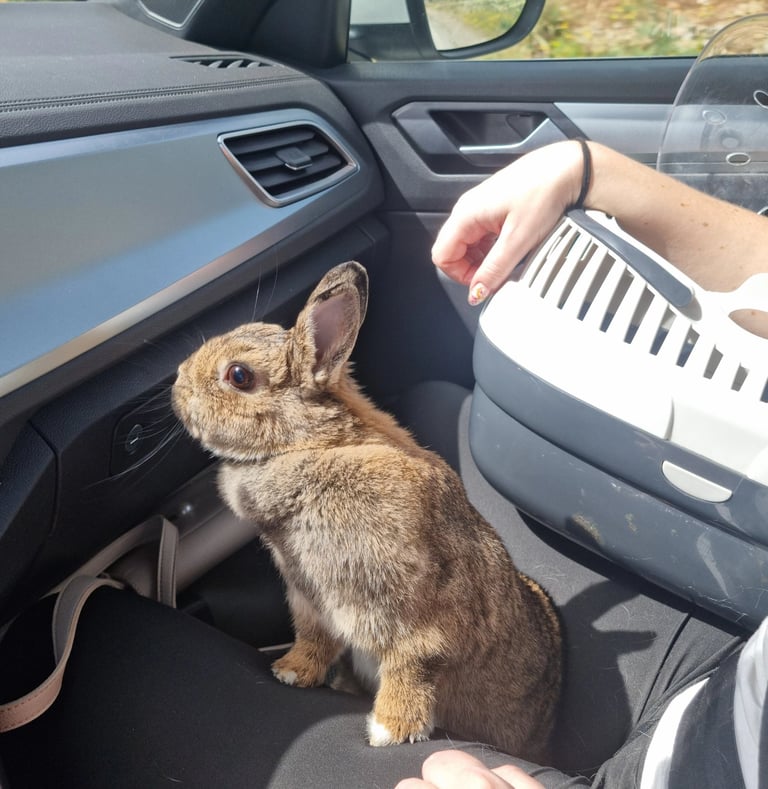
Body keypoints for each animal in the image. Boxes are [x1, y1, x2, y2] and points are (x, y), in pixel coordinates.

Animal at [172, 261, 562, 760]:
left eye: (239, 376)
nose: (177, 381)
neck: (309, 445)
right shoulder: (310, 601)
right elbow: (315, 639)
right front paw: (291, 672)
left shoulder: (423, 614)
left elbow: (414, 663)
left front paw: (389, 730)